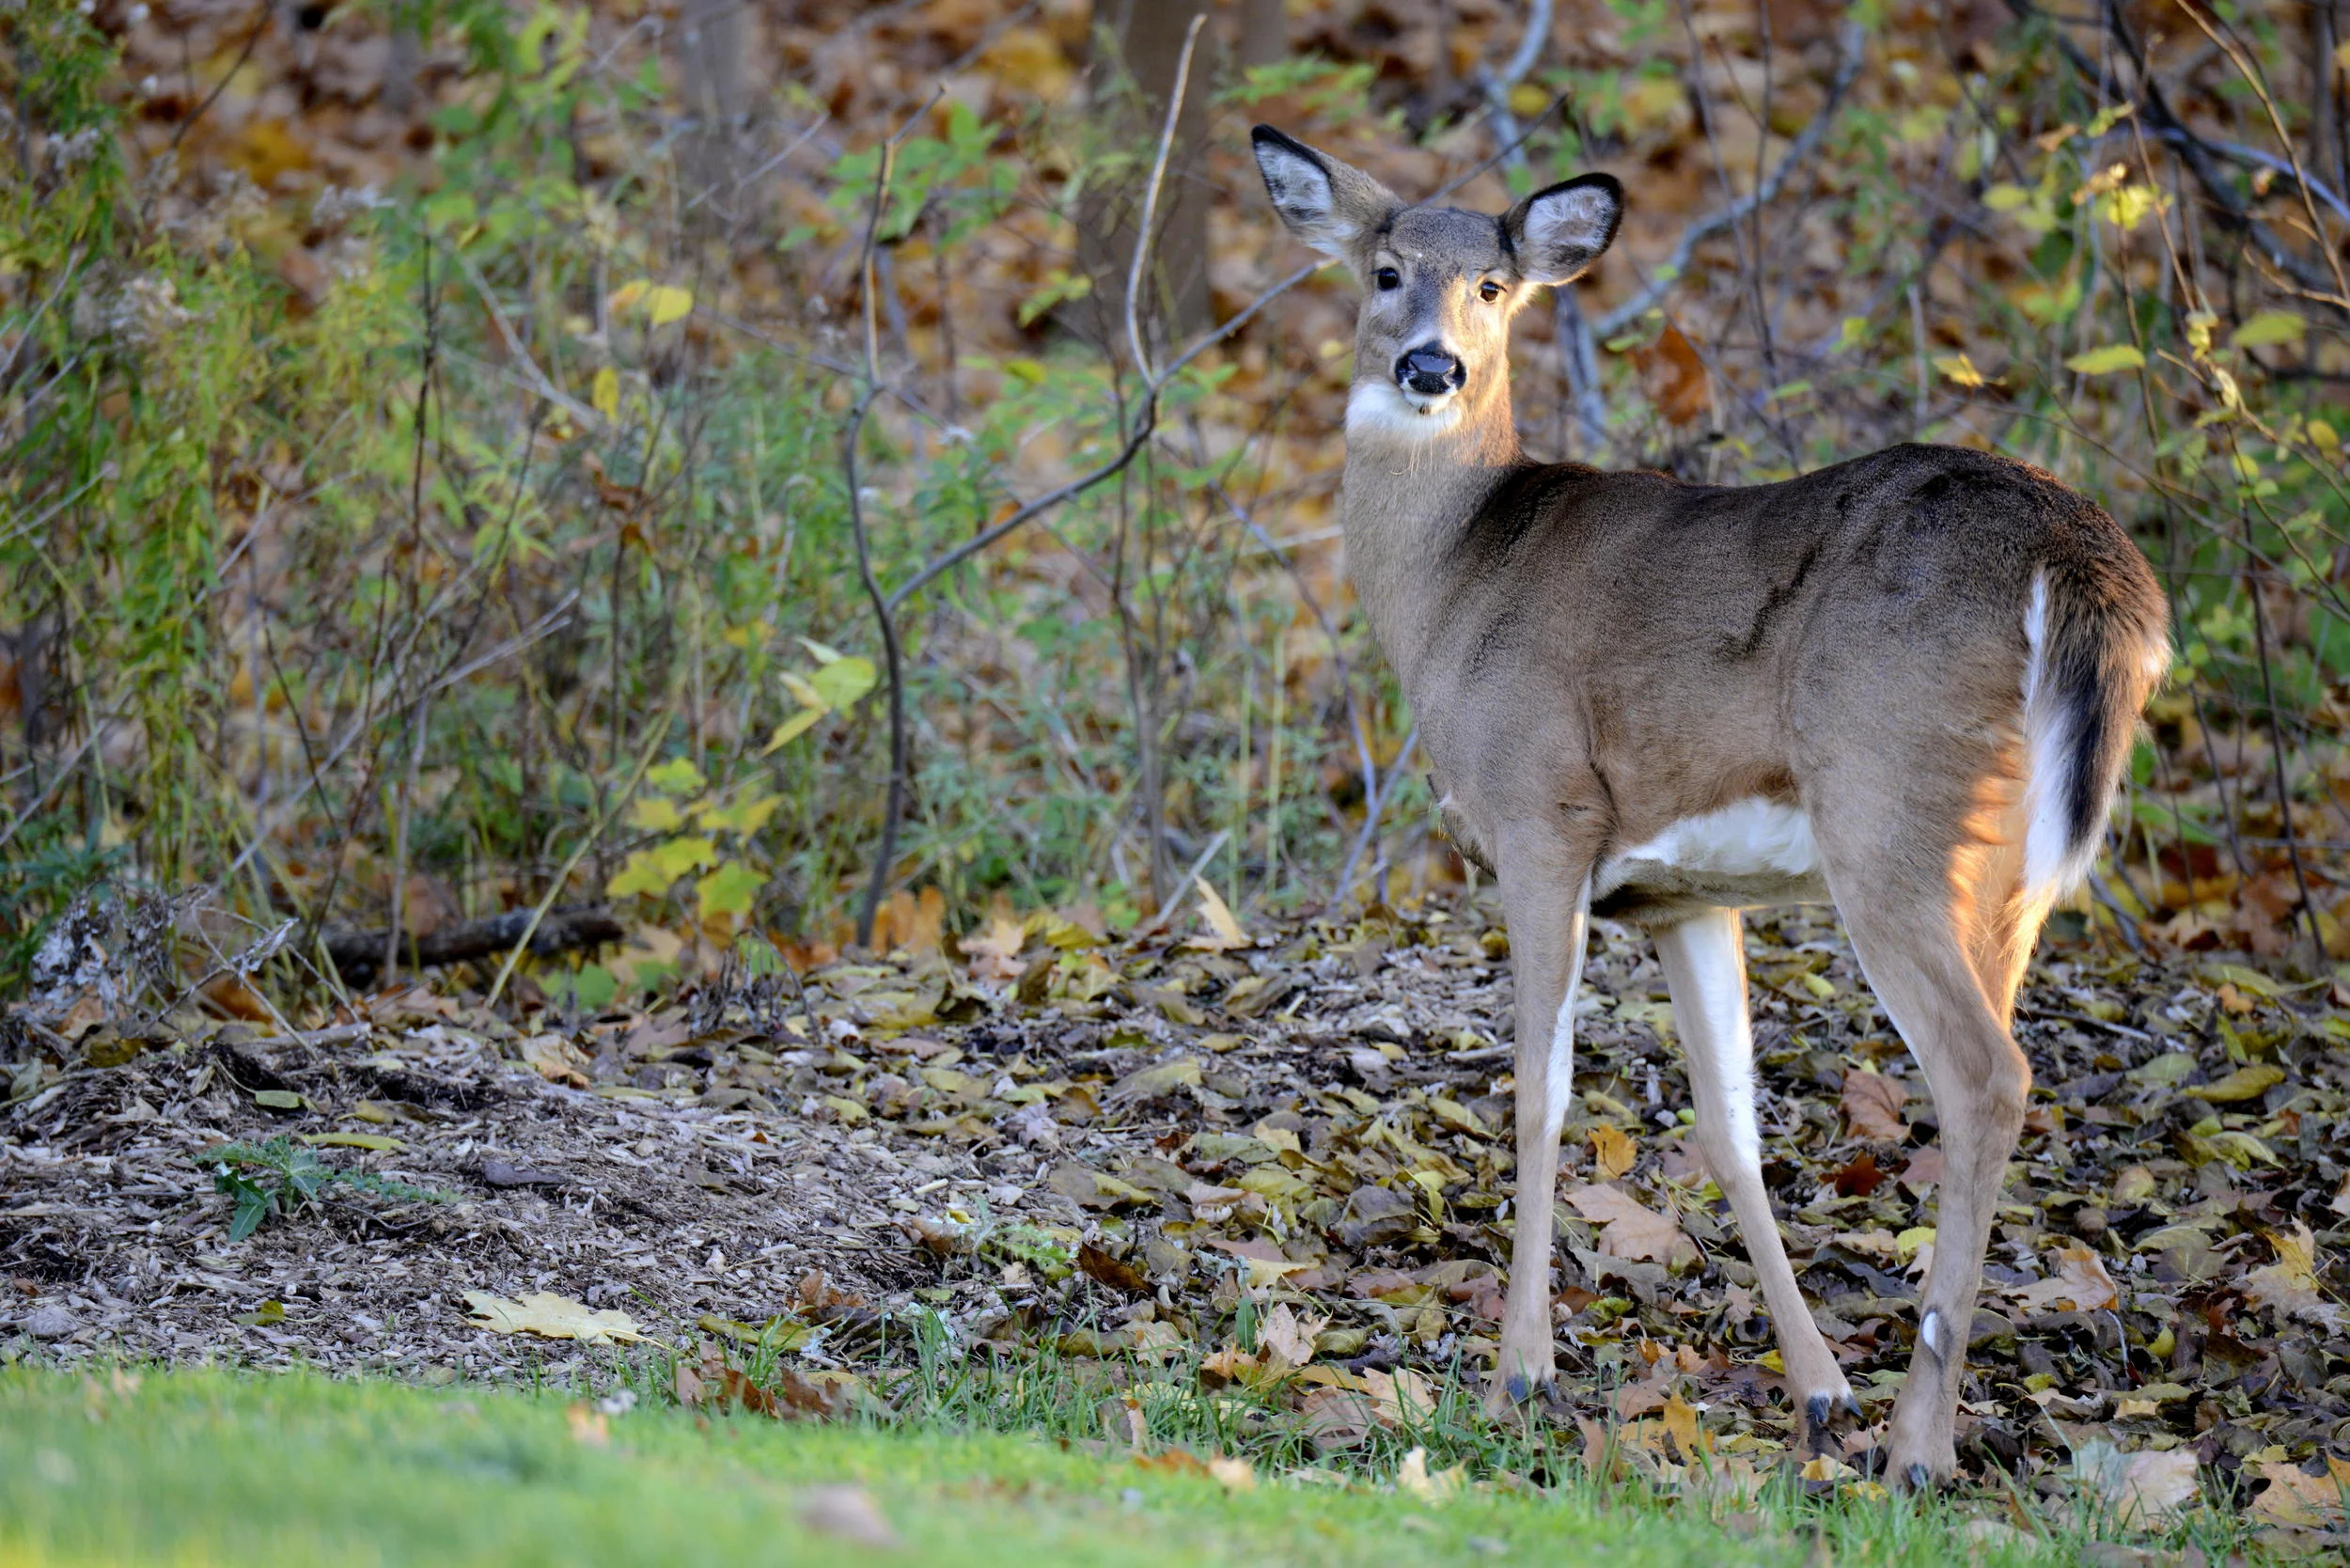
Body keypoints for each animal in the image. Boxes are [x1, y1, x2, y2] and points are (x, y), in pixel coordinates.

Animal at [1248, 125, 2169, 1486]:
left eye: (1493, 286)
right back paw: (1917, 1427)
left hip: (1887, 803)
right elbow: (1732, 1127)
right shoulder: (1688, 894)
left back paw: (1918, 1451)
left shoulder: (1539, 812)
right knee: (1988, 1064)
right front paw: (1818, 1392)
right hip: (2008, 861)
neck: (1456, 582)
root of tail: (2080, 559)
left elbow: (1539, 1089)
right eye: (1383, 270)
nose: (1431, 366)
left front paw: (1521, 1374)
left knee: (1987, 1074)